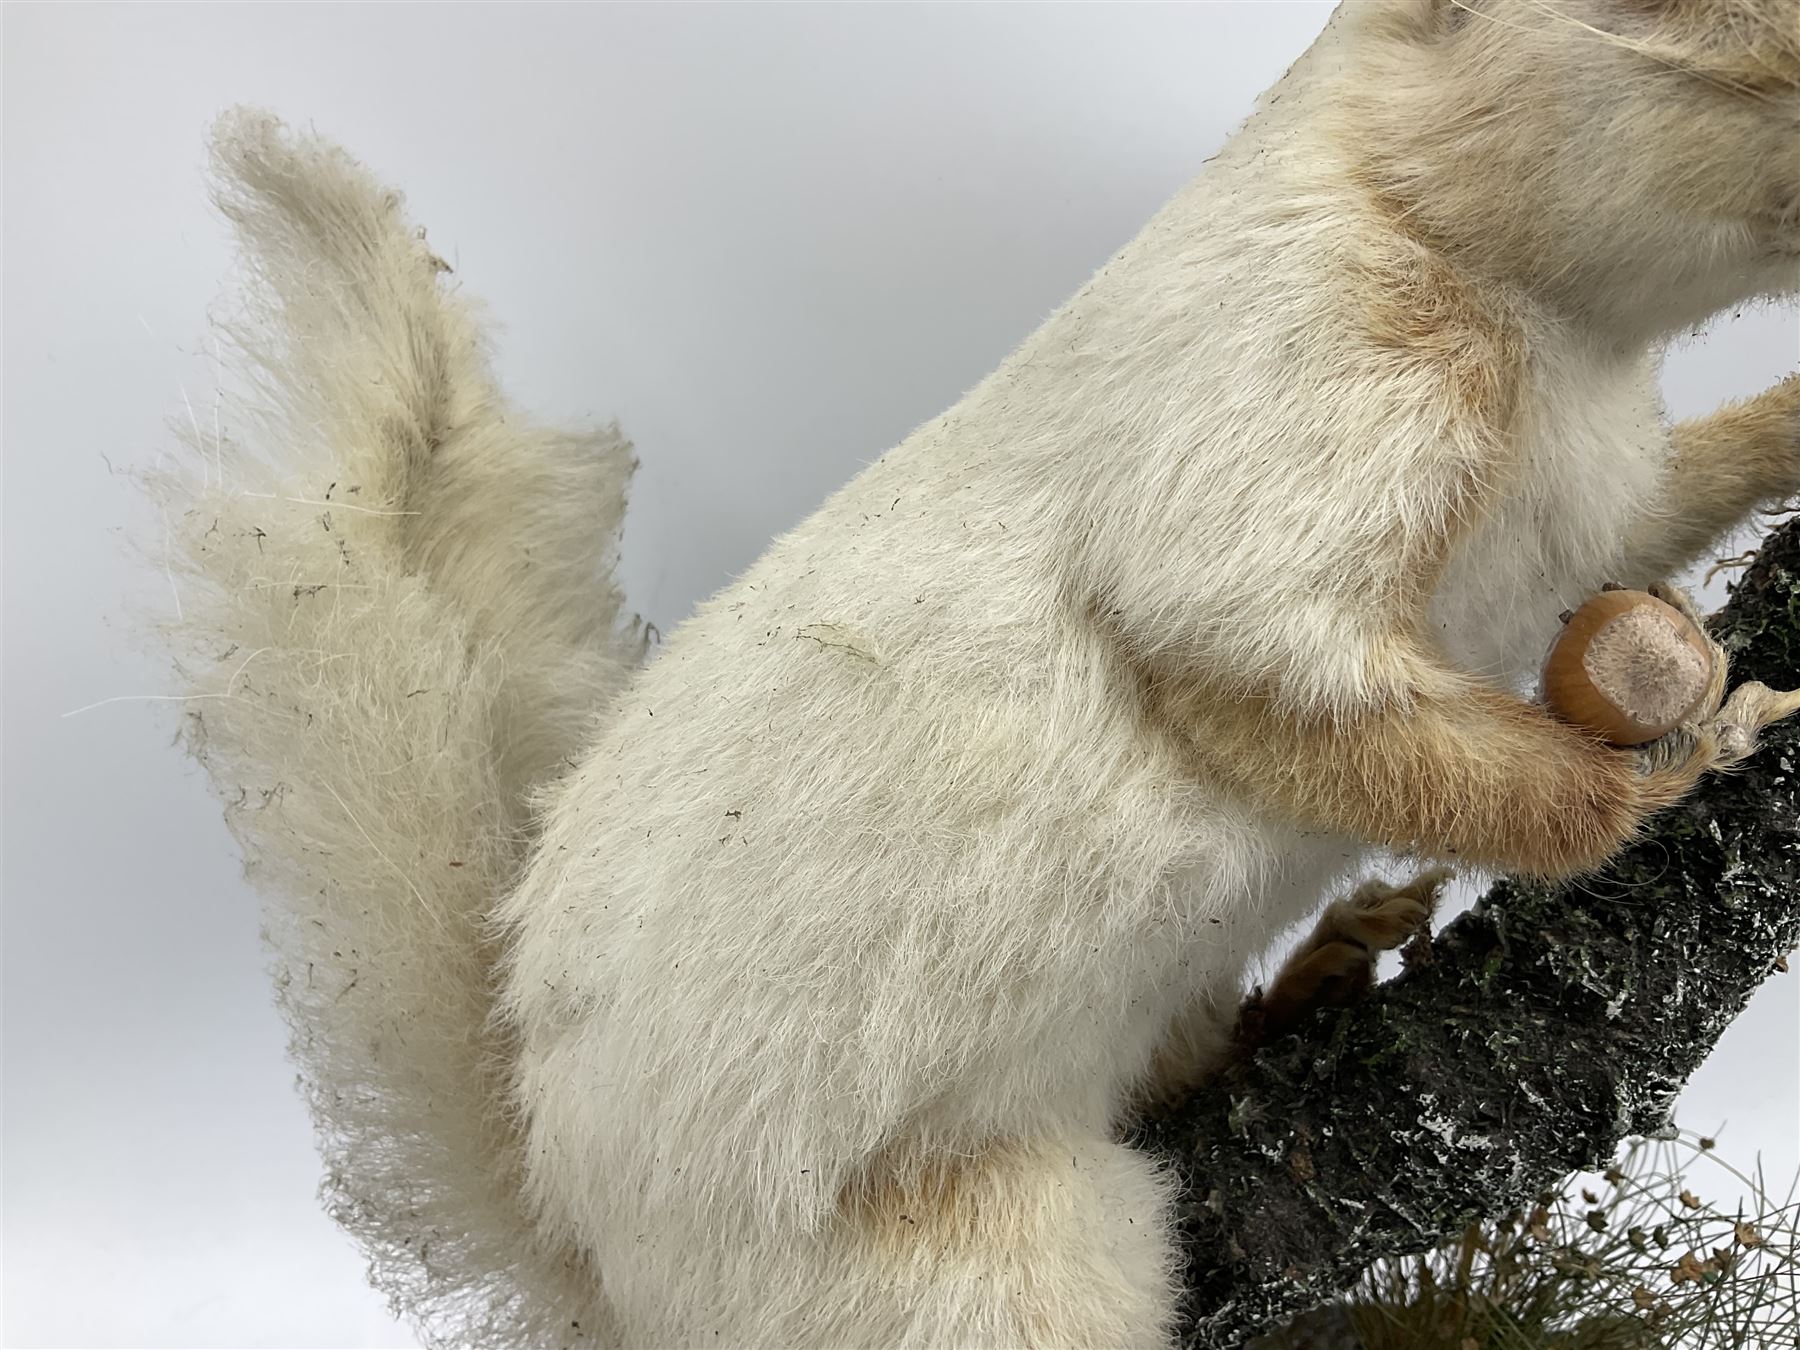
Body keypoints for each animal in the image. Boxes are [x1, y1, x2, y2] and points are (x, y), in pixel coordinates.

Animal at [158, 1, 1800, 1345]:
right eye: (1653, 4)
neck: (1554, 339)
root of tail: (603, 1263)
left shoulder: (1594, 501)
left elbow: (1669, 503)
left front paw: (1787, 435)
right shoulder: (1296, 394)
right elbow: (1264, 677)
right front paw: (1681, 757)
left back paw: (1299, 987)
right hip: (977, 1273)